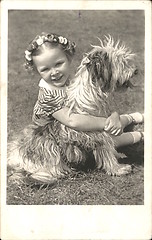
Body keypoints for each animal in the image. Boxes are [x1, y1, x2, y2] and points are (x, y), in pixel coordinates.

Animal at [7, 35, 138, 183]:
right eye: (122, 62)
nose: (135, 71)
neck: (92, 94)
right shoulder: (99, 134)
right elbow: (107, 152)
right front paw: (118, 169)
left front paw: (118, 155)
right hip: (50, 146)